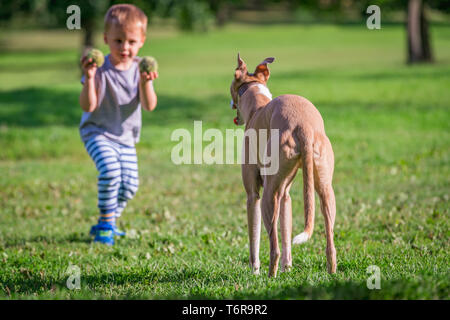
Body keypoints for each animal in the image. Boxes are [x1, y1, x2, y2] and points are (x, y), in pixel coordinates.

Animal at [230, 53, 336, 276]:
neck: (258, 106)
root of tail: (304, 126)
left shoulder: (253, 195)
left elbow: (254, 239)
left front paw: (255, 271)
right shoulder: (286, 195)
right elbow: (286, 232)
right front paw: (288, 269)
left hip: (269, 195)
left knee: (274, 246)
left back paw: (270, 275)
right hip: (325, 190)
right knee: (330, 240)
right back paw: (332, 271)